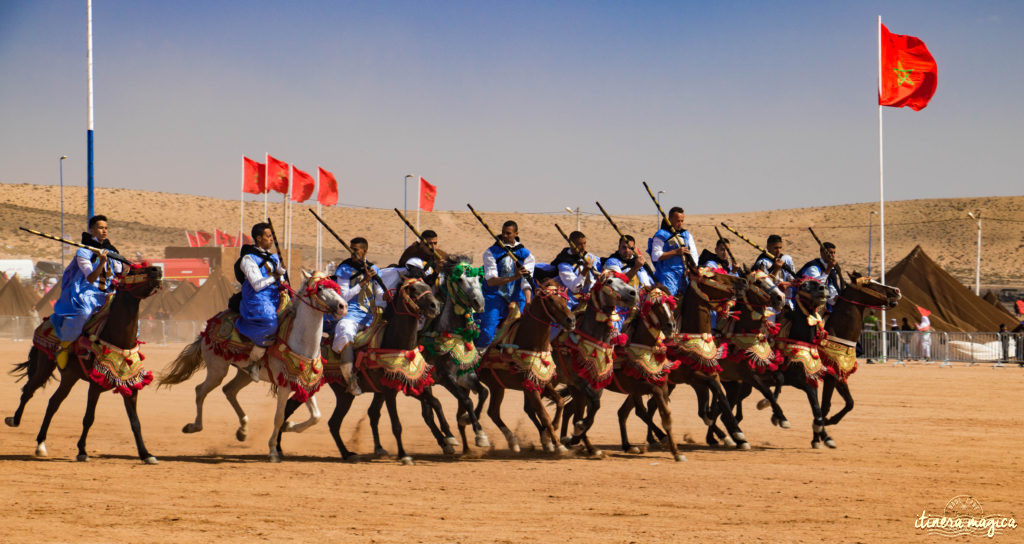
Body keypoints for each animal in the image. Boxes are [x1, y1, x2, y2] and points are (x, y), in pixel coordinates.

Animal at [4, 266, 161, 461]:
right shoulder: (95, 385)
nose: (158, 269)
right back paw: (14, 420)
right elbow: (89, 418)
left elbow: (135, 422)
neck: (117, 339)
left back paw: (41, 444)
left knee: (53, 403)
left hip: (70, 376)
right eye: (133, 270)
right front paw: (82, 451)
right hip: (44, 366)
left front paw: (146, 454)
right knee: (28, 391)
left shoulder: (130, 386)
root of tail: (46, 320)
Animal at [159, 270, 348, 461]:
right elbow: (278, 417)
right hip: (217, 370)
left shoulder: (304, 384)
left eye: (334, 286)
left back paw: (242, 430)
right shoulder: (284, 386)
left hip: (244, 374)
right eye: (320, 288)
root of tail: (208, 327)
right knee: (200, 391)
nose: (343, 306)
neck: (301, 341)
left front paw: (289, 426)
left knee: (229, 390)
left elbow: (316, 416)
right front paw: (273, 450)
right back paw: (194, 426)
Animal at [477, 280, 577, 454]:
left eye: (565, 299)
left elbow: (559, 402)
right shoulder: (531, 388)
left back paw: (514, 442)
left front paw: (551, 433)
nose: (571, 320)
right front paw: (557, 444)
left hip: (497, 386)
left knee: (493, 412)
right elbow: (544, 415)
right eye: (550, 300)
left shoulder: (543, 383)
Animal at [552, 268, 638, 454]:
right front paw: (576, 432)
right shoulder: (581, 382)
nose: (633, 293)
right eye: (609, 282)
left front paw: (576, 434)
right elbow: (594, 406)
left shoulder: (595, 383)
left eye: (624, 280)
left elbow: (592, 412)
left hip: (571, 387)